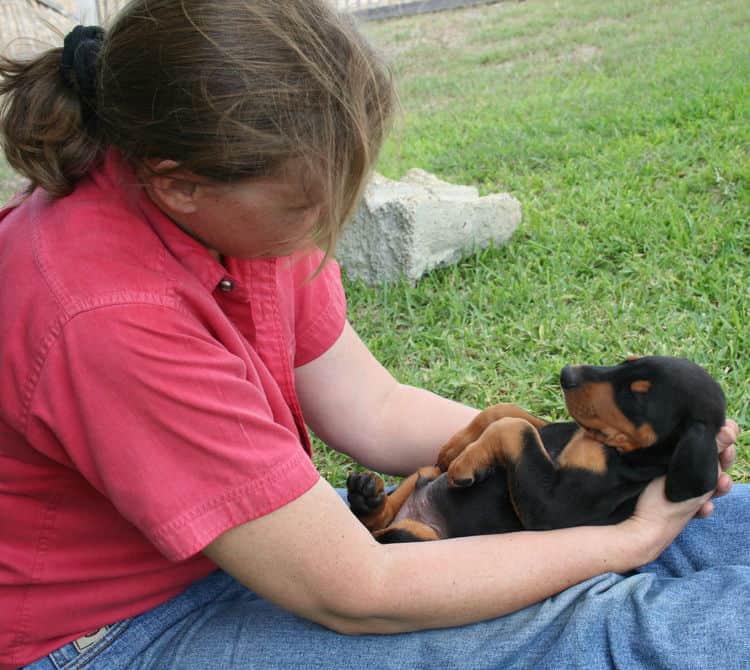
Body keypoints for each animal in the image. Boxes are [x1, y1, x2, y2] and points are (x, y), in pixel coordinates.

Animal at [352, 356, 728, 544]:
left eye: (636, 395)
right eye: (626, 360)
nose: (566, 374)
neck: (612, 448)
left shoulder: (555, 508)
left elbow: (517, 427)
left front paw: (465, 462)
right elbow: (509, 413)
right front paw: (457, 446)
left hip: (418, 539)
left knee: (380, 536)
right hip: (422, 477)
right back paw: (367, 495)